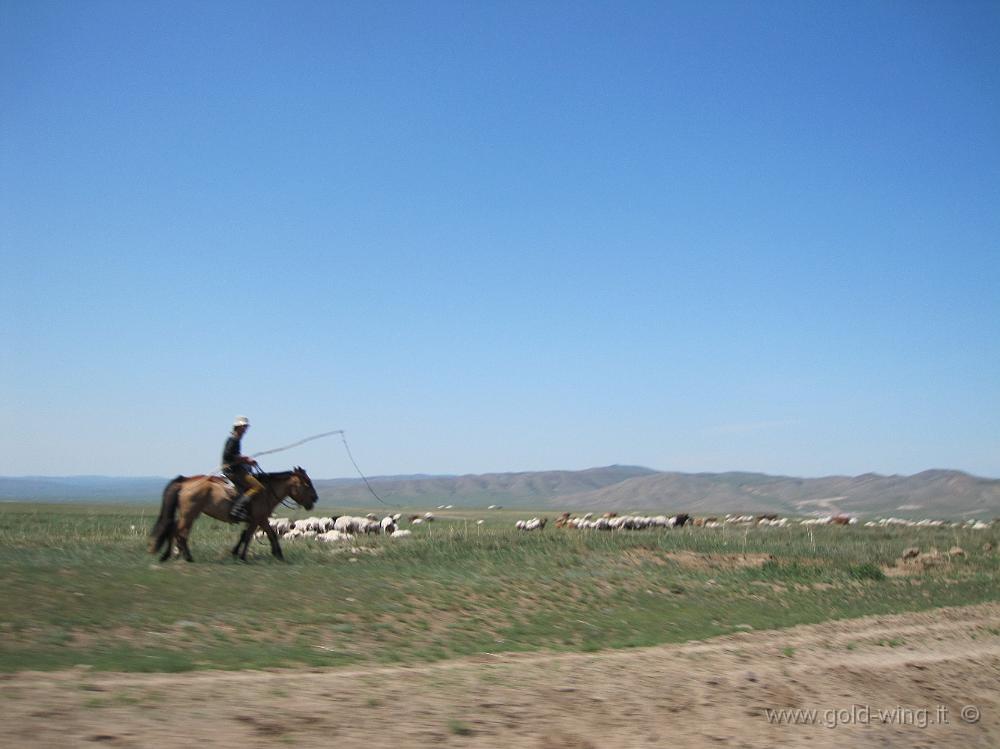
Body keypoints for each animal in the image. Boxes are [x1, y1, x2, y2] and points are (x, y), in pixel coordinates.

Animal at [148, 468, 316, 560]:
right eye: (306, 484)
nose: (315, 498)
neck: (267, 491)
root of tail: (184, 481)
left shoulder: (257, 520)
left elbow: (254, 535)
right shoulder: (259, 518)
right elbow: (251, 537)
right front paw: (242, 556)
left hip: (188, 514)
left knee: (174, 529)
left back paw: (169, 555)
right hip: (189, 514)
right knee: (179, 532)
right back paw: (186, 557)